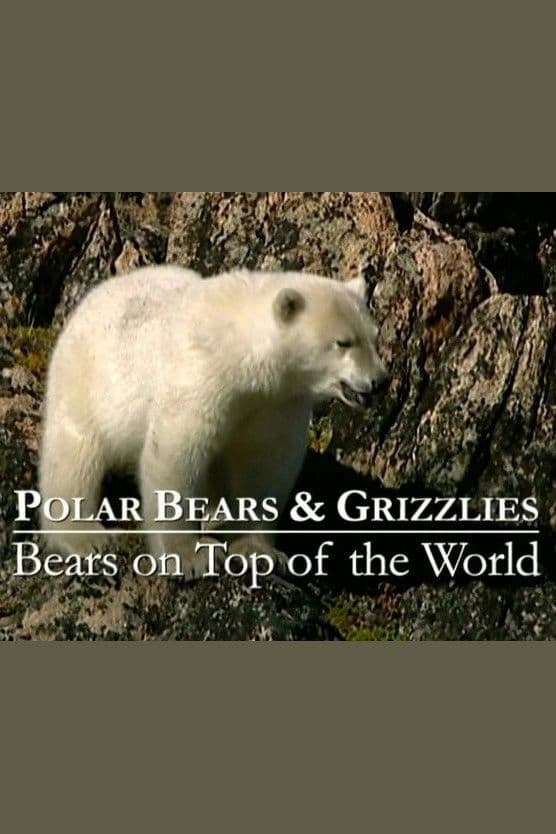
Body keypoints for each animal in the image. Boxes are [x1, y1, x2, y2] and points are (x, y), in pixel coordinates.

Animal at [38, 265, 388, 574]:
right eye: (343, 342)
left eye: (374, 338)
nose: (380, 381)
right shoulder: (202, 377)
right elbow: (176, 453)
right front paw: (191, 558)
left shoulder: (275, 402)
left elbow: (264, 464)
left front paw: (258, 552)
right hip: (88, 382)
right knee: (74, 455)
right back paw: (86, 536)